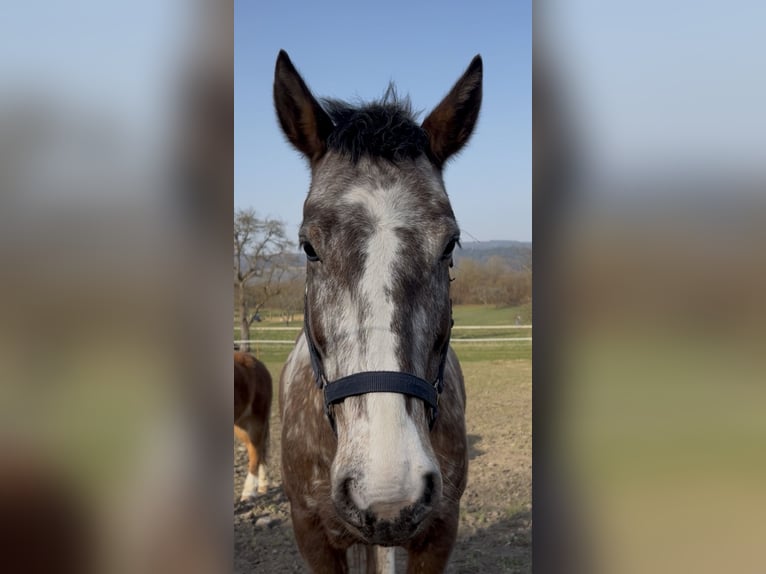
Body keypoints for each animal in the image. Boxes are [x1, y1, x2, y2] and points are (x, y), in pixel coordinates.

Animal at [234, 351, 273, 501]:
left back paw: (249, 491)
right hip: (241, 426)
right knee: (258, 450)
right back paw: (262, 484)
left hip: (256, 422)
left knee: (256, 451)